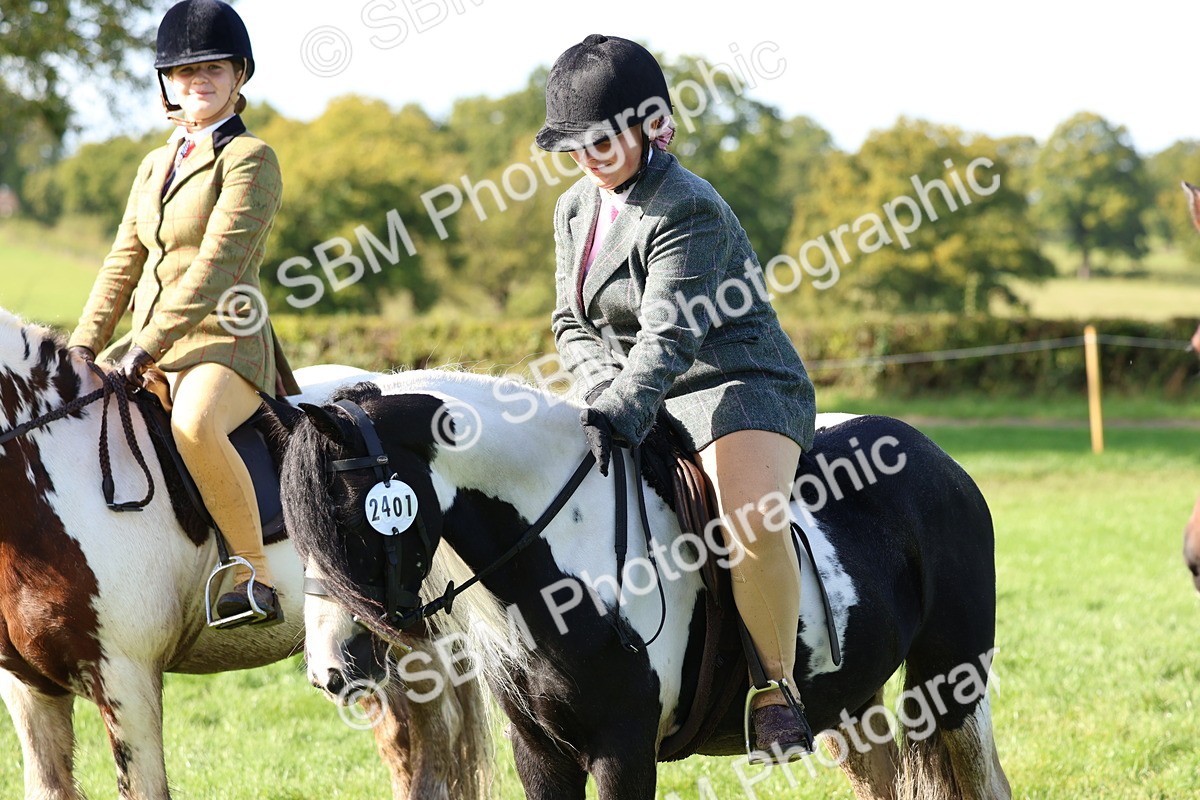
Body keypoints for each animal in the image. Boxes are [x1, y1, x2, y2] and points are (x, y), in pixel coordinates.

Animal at [270, 368, 1012, 800]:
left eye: (350, 516)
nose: (331, 668)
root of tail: (935, 456)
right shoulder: (540, 754)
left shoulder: (622, 751)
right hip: (853, 703)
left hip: (952, 685)